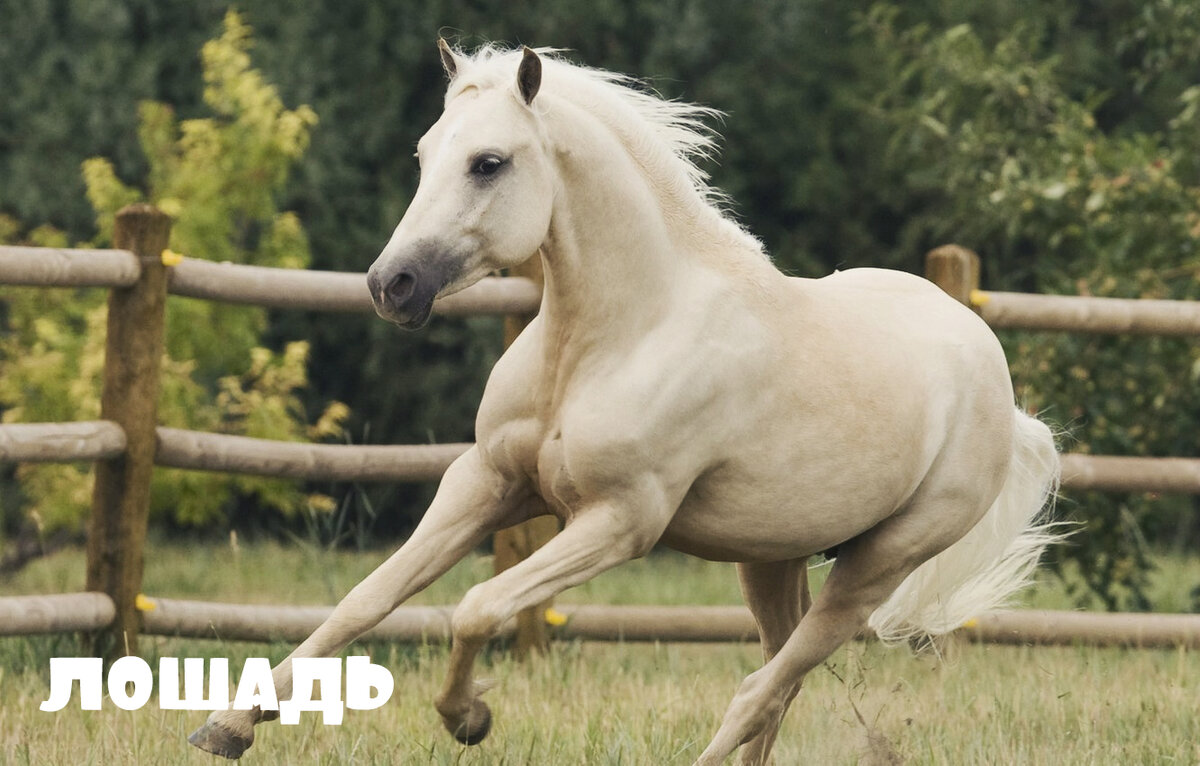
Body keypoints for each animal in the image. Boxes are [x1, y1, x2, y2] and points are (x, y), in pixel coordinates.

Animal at [192, 43, 1065, 766]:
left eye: (487, 163)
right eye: (425, 154)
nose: (391, 285)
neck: (610, 340)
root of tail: (998, 382)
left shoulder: (619, 521)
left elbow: (475, 606)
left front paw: (468, 718)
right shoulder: (485, 484)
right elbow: (366, 598)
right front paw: (228, 727)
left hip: (878, 564)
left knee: (760, 689)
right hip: (771, 555)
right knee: (777, 683)